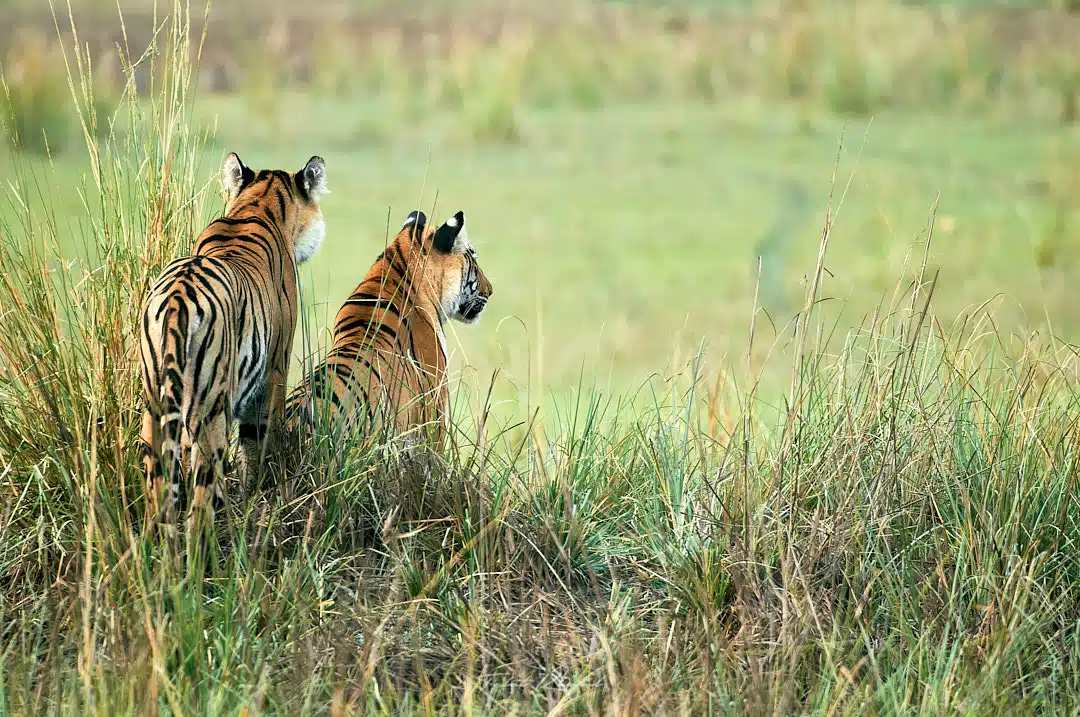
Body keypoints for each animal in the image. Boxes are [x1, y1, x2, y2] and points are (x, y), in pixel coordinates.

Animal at [138, 152, 330, 530]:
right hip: (210, 409)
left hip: (154, 407)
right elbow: (261, 441)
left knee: (159, 497)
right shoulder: (275, 367)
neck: (258, 203)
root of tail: (178, 298)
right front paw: (263, 495)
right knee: (200, 505)